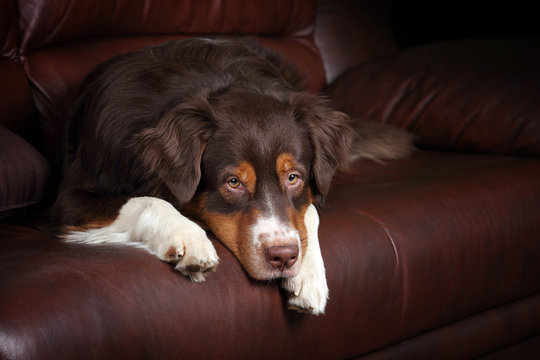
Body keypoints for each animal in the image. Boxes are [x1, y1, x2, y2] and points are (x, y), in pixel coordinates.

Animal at [51, 38, 414, 316]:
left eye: (294, 177)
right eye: (233, 182)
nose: (283, 257)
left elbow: (307, 211)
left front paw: (308, 275)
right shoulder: (67, 201)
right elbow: (145, 201)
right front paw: (190, 238)